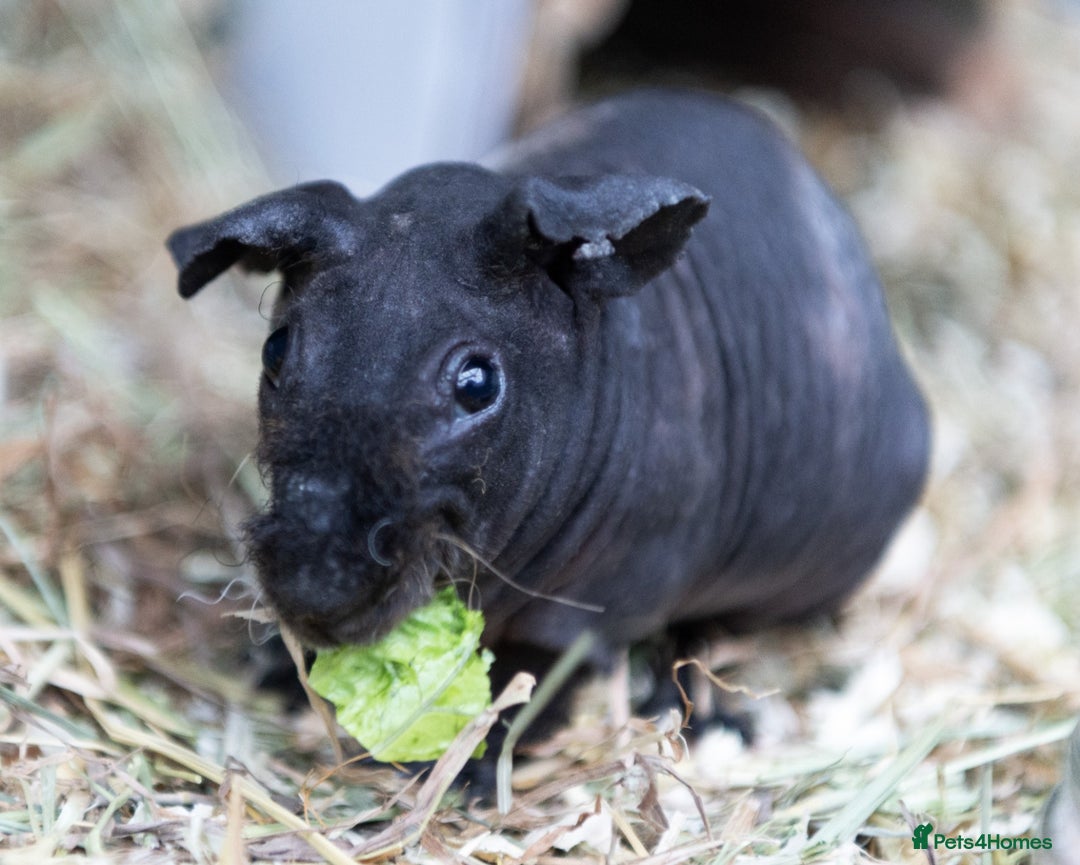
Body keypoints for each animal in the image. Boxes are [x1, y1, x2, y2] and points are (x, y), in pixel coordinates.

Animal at [168, 89, 929, 722]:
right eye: (275, 351)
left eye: (477, 384)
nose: (314, 582)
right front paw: (276, 669)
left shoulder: (595, 612)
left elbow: (529, 684)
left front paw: (471, 778)